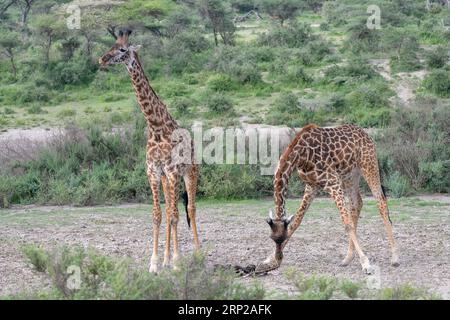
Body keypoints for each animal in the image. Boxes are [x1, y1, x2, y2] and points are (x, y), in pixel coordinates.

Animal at [99, 29, 200, 272]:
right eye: (111, 45)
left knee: (191, 208)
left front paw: (177, 262)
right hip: (166, 180)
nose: (102, 59)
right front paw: (155, 263)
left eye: (122, 49)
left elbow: (175, 215)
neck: (155, 126)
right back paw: (166, 258)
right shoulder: (154, 172)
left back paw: (199, 253)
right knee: (170, 209)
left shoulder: (173, 171)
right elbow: (157, 215)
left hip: (190, 172)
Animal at [264, 124, 398, 274]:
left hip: (369, 165)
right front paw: (270, 259)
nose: (279, 257)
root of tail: (366, 134)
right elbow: (297, 221)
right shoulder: (312, 186)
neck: (301, 155)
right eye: (273, 238)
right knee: (357, 203)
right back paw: (347, 258)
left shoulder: (333, 182)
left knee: (381, 202)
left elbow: (347, 224)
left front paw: (366, 263)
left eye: (282, 238)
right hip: (350, 175)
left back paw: (394, 257)